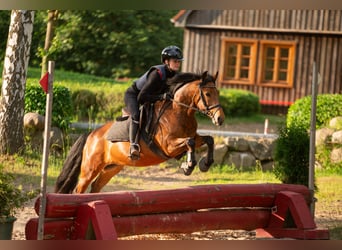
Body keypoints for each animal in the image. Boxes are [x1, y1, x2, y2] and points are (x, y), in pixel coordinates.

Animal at [55, 71, 226, 193]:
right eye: (208, 94)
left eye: (218, 93)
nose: (220, 119)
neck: (180, 111)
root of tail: (91, 135)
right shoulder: (168, 146)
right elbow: (189, 142)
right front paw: (189, 165)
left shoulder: (193, 137)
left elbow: (208, 139)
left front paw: (205, 164)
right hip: (90, 168)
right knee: (79, 189)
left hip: (112, 167)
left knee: (96, 187)